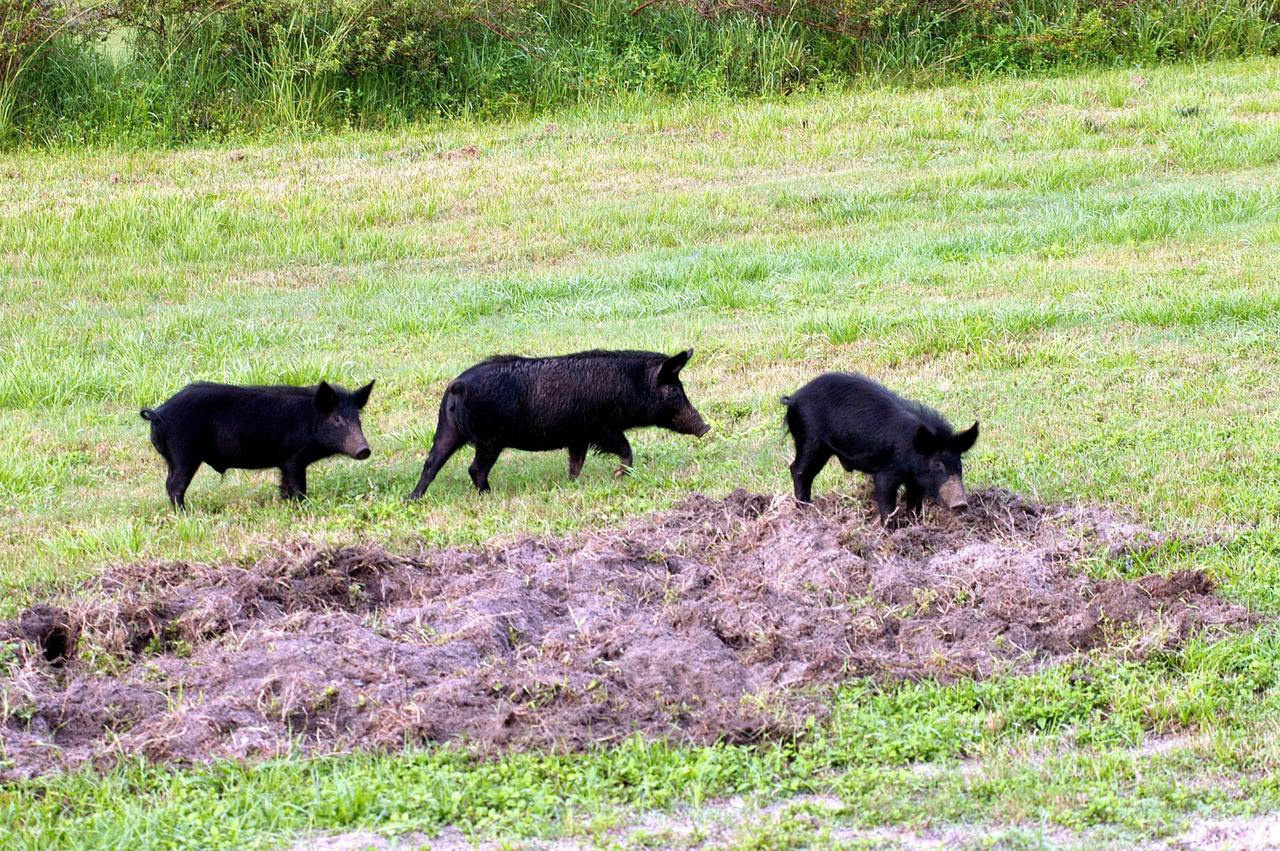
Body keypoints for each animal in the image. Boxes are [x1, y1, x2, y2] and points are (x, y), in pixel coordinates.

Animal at [140, 380, 375, 509]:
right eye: (336, 419)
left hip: (173, 458)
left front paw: (286, 504)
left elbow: (285, 487)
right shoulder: (294, 458)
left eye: (357, 418)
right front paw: (302, 507)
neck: (310, 419)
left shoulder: (285, 463)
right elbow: (299, 487)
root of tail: (159, 414)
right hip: (184, 454)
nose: (364, 449)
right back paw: (185, 515)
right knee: (174, 486)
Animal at [408, 349, 709, 498]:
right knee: (475, 469)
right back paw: (489, 496)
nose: (705, 427)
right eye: (674, 390)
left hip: (447, 429)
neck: (634, 384)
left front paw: (573, 483)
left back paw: (413, 498)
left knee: (431, 463)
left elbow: (576, 462)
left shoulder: (578, 436)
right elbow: (626, 449)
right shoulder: (603, 428)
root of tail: (457, 385)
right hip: (489, 439)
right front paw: (618, 475)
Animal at [781, 372, 978, 523]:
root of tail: (793, 399)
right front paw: (890, 531)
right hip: (810, 441)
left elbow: (915, 505)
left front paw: (915, 525)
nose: (961, 503)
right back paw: (804, 510)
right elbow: (887, 503)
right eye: (937, 465)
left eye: (959, 466)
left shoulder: (915, 481)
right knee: (798, 470)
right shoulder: (886, 473)